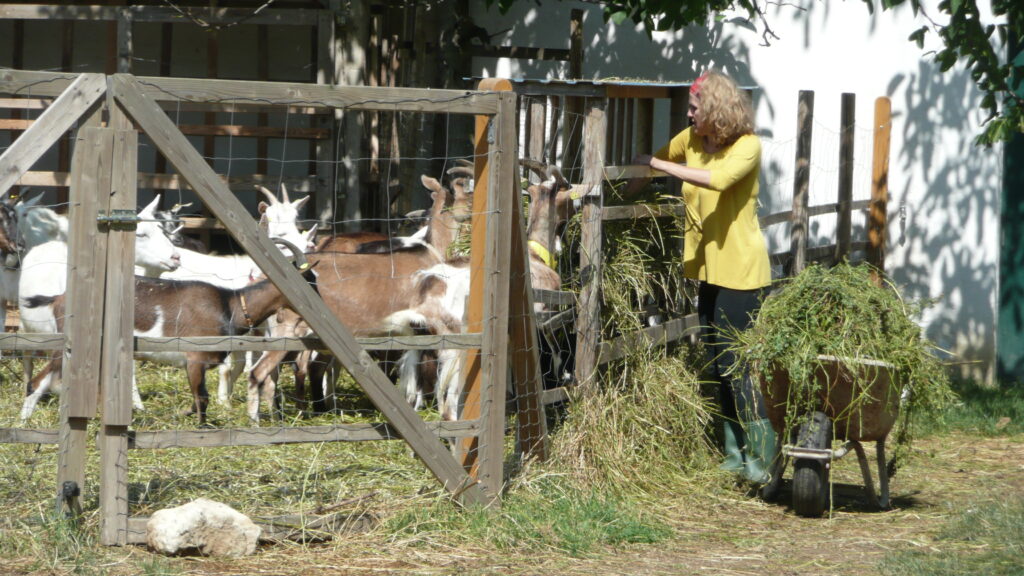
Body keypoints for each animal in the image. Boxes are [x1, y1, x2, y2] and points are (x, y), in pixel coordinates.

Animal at [18, 237, 307, 422]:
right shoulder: (195, 359)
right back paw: (24, 422)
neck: (231, 303)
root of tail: (58, 298)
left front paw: (184, 414)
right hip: (67, 347)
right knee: (36, 381)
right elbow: (202, 399)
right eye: (307, 280)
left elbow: (197, 399)